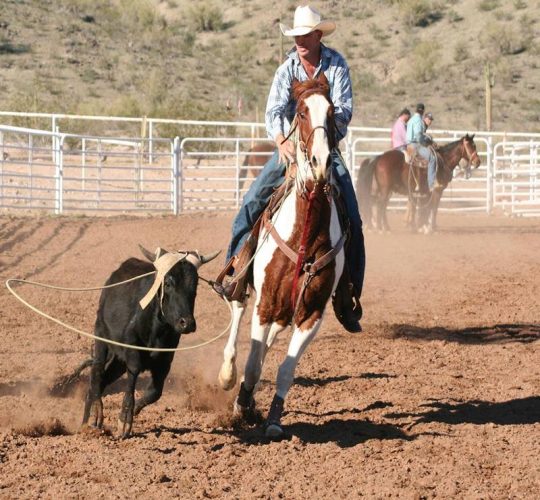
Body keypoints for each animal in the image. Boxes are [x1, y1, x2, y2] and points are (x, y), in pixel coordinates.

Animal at [217, 74, 344, 438]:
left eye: (332, 112)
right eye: (300, 112)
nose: (320, 162)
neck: (304, 234)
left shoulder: (311, 314)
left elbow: (286, 369)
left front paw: (273, 419)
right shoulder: (265, 304)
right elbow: (252, 364)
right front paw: (242, 405)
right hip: (245, 279)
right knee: (238, 310)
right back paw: (227, 374)